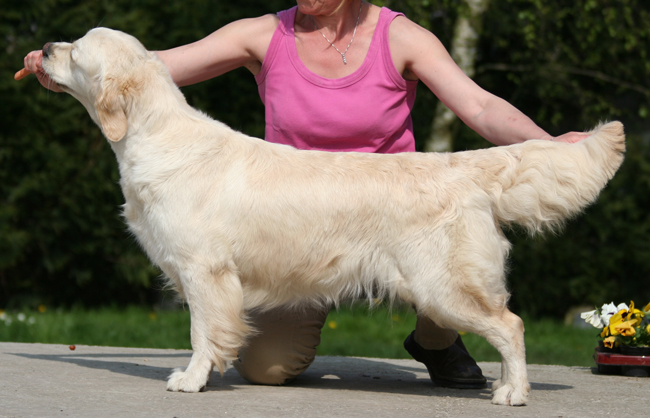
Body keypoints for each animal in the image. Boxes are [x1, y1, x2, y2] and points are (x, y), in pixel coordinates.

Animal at [40, 27, 624, 404]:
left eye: (76, 51)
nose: (42, 48)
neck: (155, 132)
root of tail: (461, 166)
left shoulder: (204, 269)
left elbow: (203, 332)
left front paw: (192, 378)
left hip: (442, 284)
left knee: (511, 325)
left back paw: (513, 392)